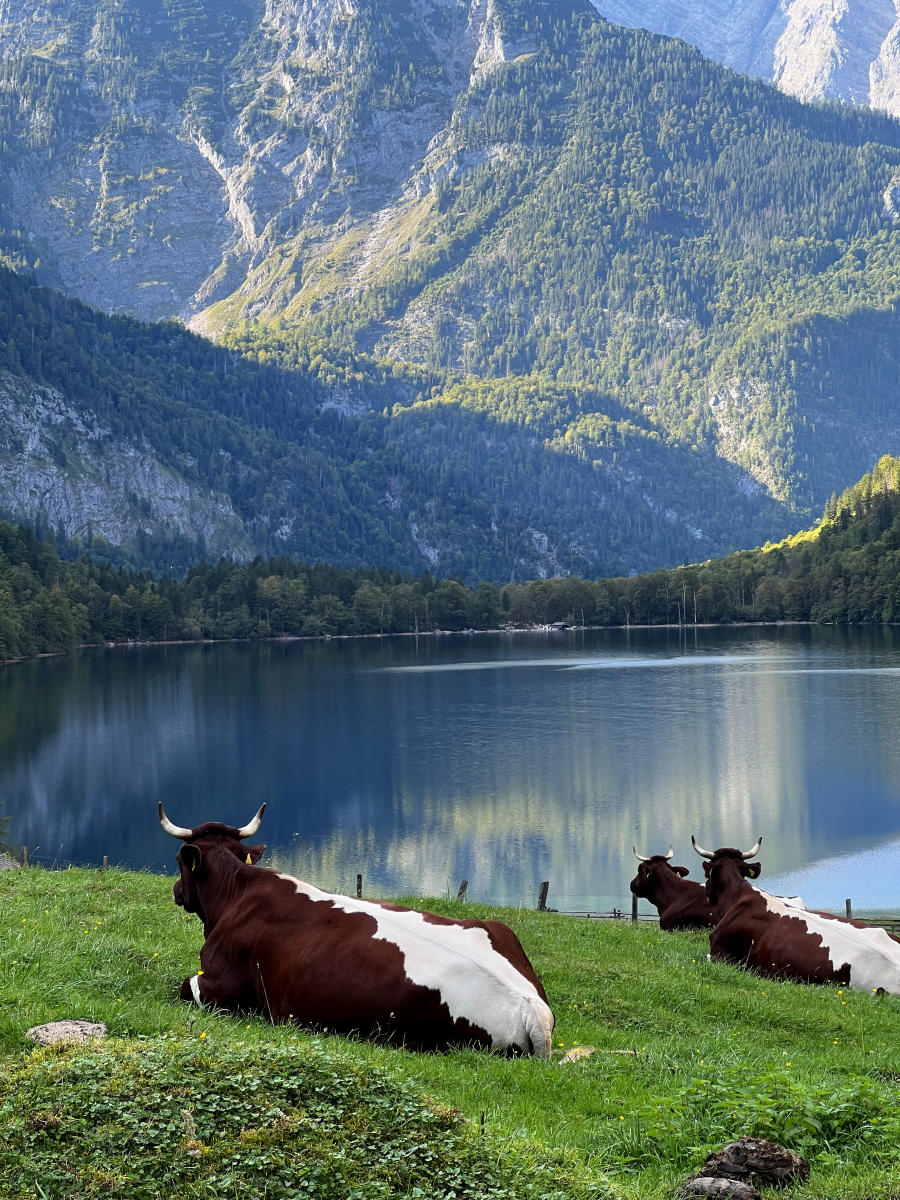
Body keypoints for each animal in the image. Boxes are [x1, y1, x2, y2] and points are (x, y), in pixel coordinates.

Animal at [162, 801, 556, 1056]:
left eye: (179, 859)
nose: (177, 890)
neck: (238, 892)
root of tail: (530, 1007)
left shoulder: (218, 986)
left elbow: (184, 987)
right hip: (498, 928)